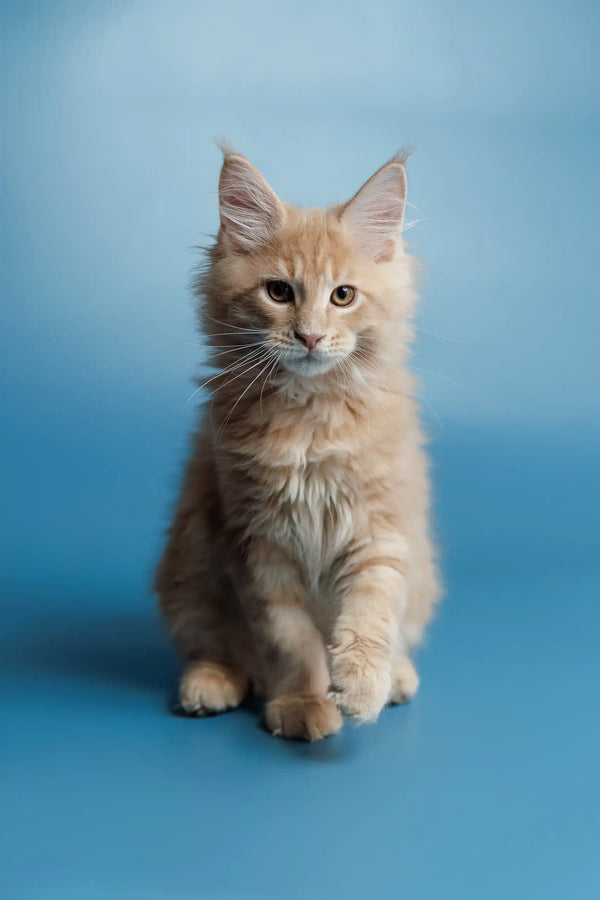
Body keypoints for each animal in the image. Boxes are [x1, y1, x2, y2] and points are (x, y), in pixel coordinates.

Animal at [157, 146, 442, 740]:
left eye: (343, 296)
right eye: (279, 292)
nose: (309, 336)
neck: (310, 418)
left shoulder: (381, 529)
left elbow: (370, 612)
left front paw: (361, 686)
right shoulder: (257, 543)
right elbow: (288, 640)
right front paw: (304, 702)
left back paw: (398, 676)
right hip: (188, 563)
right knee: (212, 643)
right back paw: (210, 683)